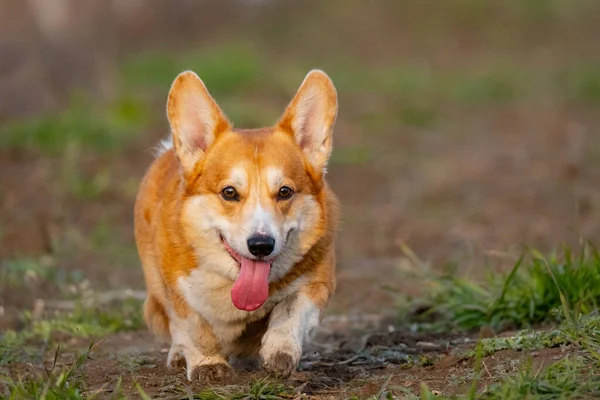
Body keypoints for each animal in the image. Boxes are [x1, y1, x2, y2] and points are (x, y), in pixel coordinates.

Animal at [133, 70, 338, 382]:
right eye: (229, 192)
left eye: (285, 192)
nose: (261, 245)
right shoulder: (177, 289)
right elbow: (193, 326)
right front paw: (207, 364)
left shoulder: (317, 282)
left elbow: (290, 310)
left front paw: (279, 352)